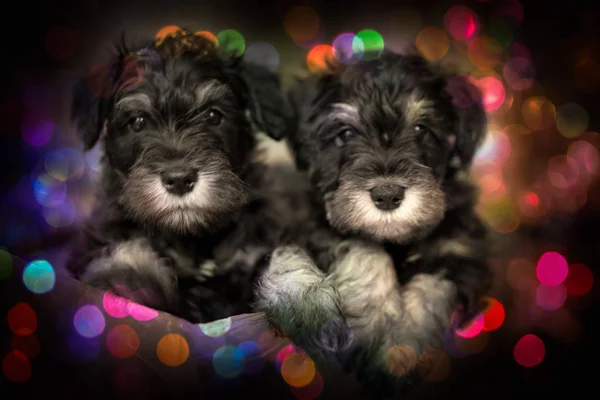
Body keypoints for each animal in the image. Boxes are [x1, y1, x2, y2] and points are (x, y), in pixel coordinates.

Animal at [255, 50, 494, 396]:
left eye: (421, 128)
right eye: (345, 134)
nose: (387, 195)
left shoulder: (461, 256)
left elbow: (431, 291)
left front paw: (399, 349)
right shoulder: (323, 231)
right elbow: (365, 253)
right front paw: (377, 324)